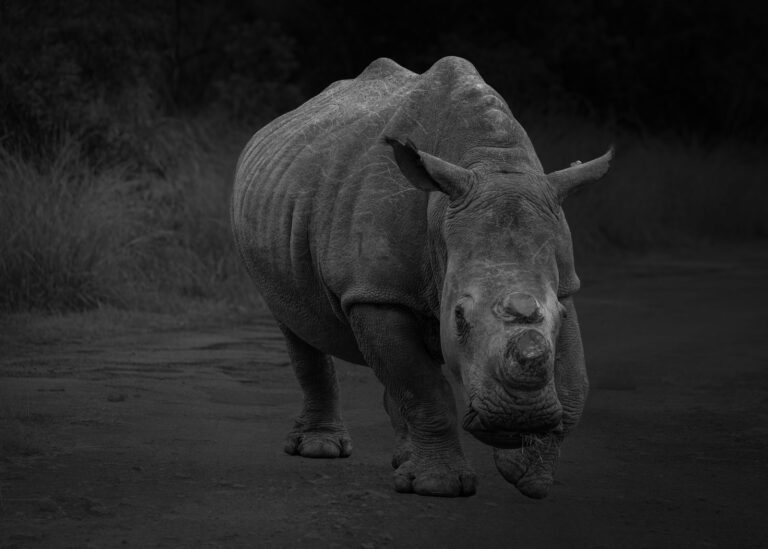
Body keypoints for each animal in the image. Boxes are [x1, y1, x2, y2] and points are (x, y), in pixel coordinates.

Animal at [231, 56, 612, 498]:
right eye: (459, 318)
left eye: (559, 314)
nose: (518, 416)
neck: (489, 162)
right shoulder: (375, 291)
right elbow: (423, 388)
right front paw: (438, 486)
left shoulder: (564, 283)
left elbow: (574, 384)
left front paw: (526, 473)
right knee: (297, 326)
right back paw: (321, 450)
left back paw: (403, 461)